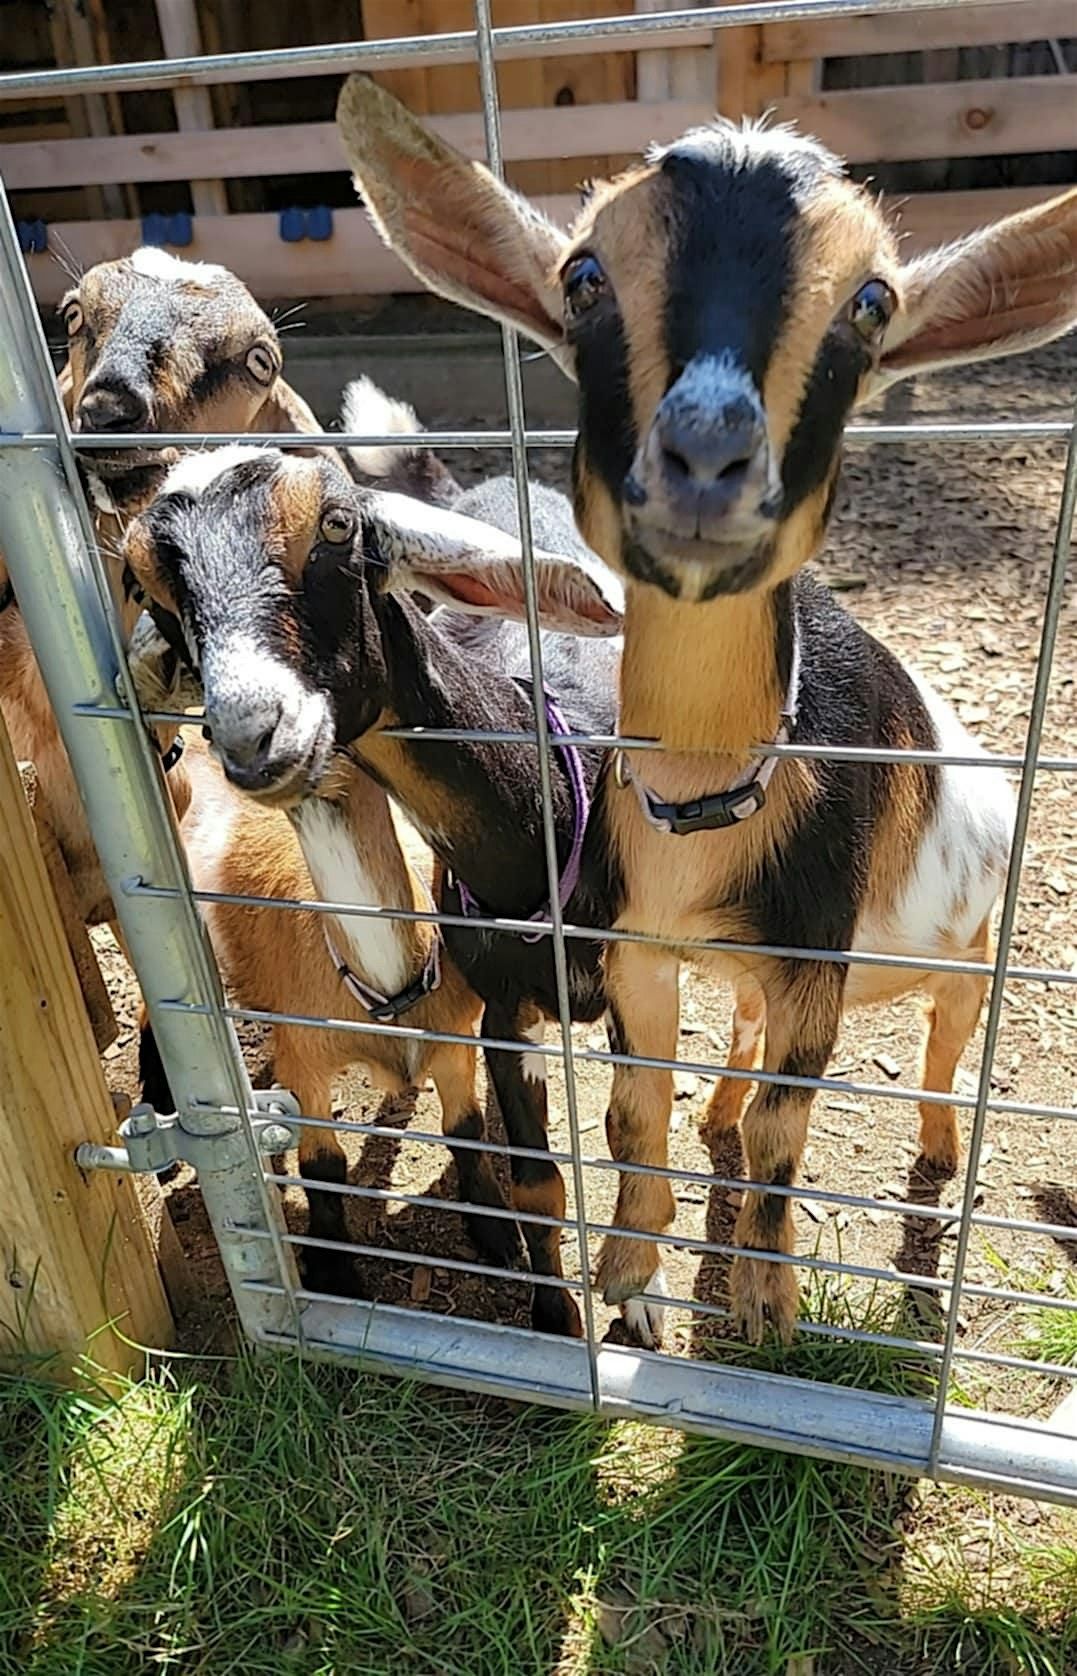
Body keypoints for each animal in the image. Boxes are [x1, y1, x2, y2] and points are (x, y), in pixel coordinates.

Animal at [336, 75, 1077, 1347]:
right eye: (584, 275)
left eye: (873, 301)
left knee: (944, 1040)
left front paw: (768, 1305)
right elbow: (634, 1109)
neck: (703, 811)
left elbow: (789, 1126)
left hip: (969, 943)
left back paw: (937, 1154)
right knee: (743, 1045)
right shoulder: (637, 953)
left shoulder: (816, 954)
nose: (706, 457)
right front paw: (632, 1279)